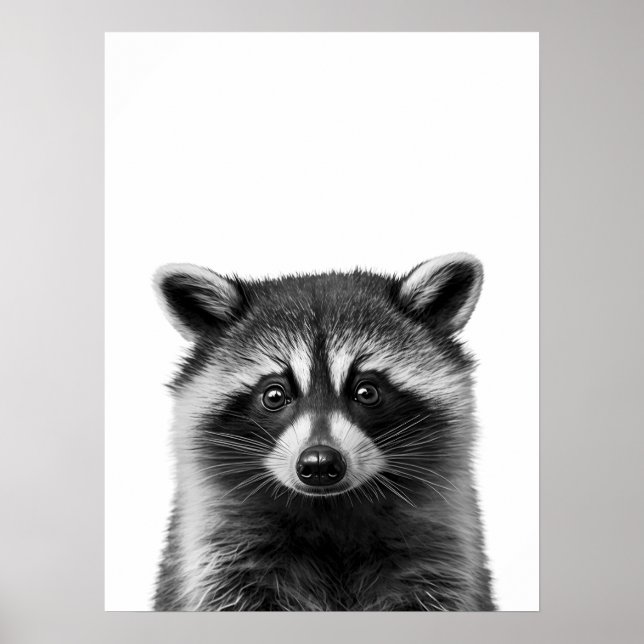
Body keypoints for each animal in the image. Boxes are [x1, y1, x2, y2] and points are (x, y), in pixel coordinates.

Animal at [152, 253, 495, 611]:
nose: (319, 463)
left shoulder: (436, 547)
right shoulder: (222, 546)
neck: (329, 508)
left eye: (366, 392)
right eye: (274, 395)